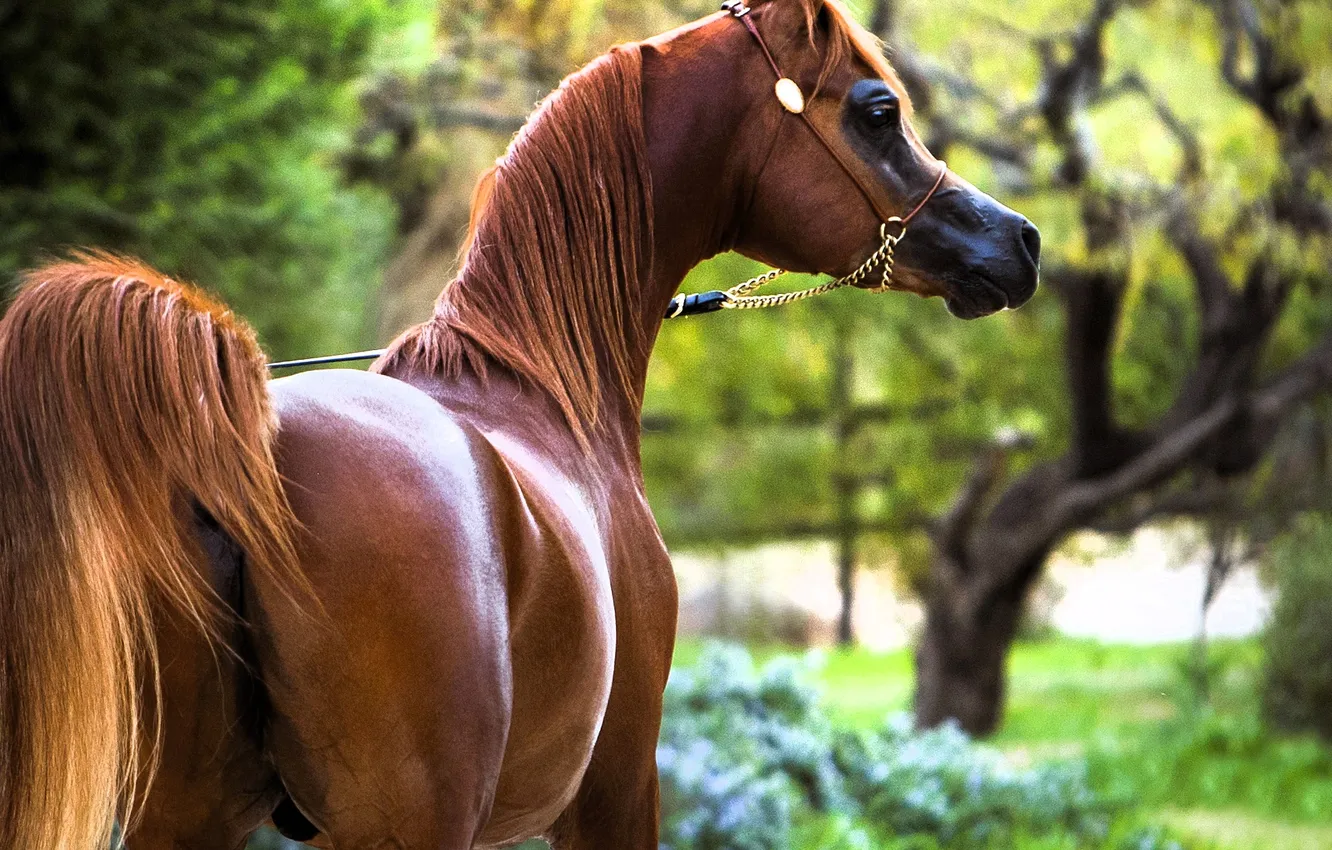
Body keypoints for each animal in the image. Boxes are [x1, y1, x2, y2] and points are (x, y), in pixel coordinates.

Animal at [0, 1, 1039, 847]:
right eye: (877, 110)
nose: (1019, 241)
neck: (542, 388)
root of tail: (243, 450)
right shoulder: (617, 790)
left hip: (189, 816)